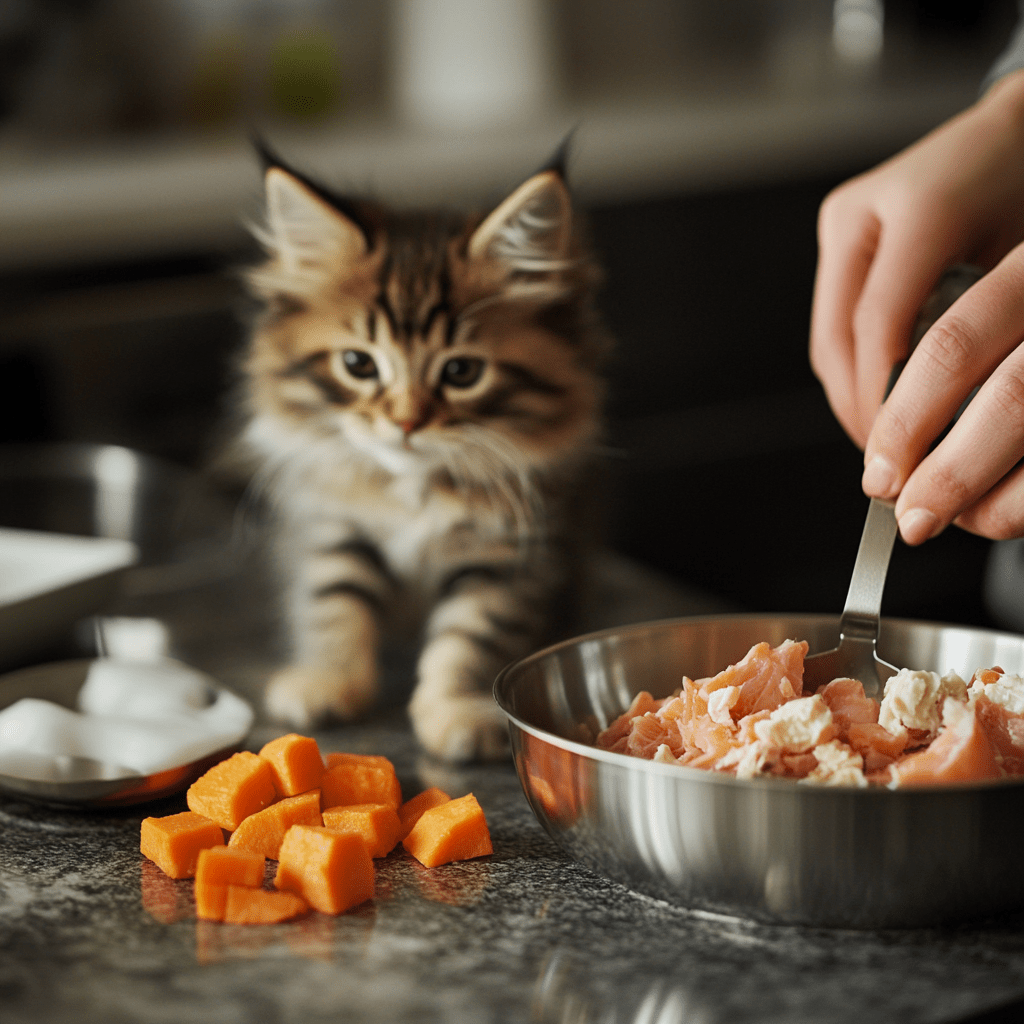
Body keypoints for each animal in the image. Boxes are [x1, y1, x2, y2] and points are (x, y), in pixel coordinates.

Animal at [234, 148, 606, 765]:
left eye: (462, 372)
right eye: (358, 364)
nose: (405, 422)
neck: (414, 488)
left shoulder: (511, 550)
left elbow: (473, 630)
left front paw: (456, 709)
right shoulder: (333, 524)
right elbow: (333, 602)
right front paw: (328, 681)